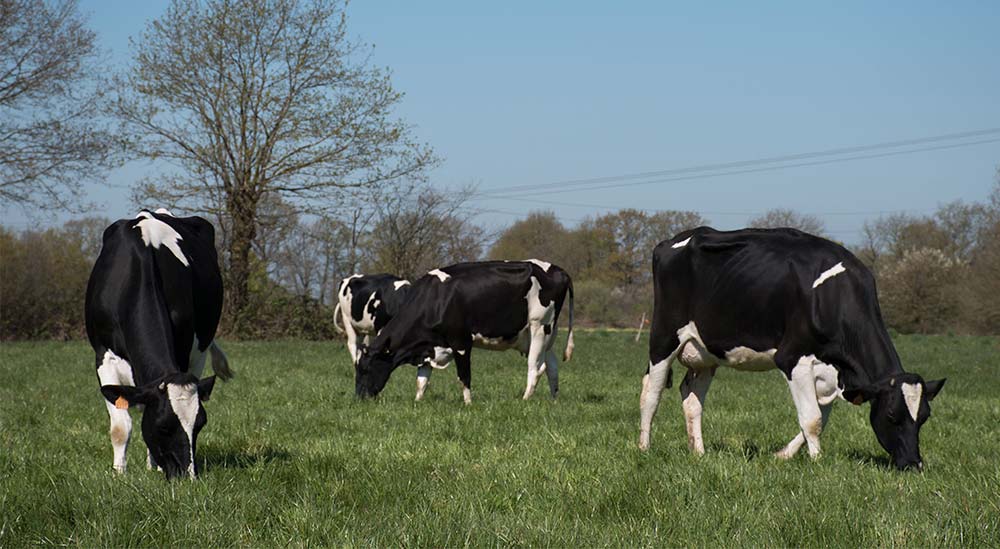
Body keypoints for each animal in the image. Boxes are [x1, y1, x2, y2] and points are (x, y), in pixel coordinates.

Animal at [85, 208, 233, 478]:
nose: (187, 476)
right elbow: (120, 427)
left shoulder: (183, 350)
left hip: (199, 351)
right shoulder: (103, 355)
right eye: (163, 427)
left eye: (200, 425)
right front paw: (119, 473)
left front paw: (151, 465)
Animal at [356, 260, 576, 400]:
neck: (435, 300)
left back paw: (525, 398)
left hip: (539, 326)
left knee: (536, 367)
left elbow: (464, 375)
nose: (359, 398)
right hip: (545, 334)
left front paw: (468, 403)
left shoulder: (460, 342)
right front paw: (417, 401)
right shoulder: (429, 347)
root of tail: (559, 270)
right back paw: (553, 400)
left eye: (366, 369)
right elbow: (422, 380)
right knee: (552, 366)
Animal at [640, 225, 944, 468]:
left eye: (925, 416)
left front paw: (783, 454)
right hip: (663, 337)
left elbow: (820, 416)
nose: (914, 464)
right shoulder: (793, 358)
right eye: (892, 415)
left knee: (692, 398)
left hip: (705, 353)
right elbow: (812, 418)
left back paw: (699, 452)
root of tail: (678, 238)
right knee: (651, 393)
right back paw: (644, 447)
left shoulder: (833, 373)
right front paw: (817, 462)